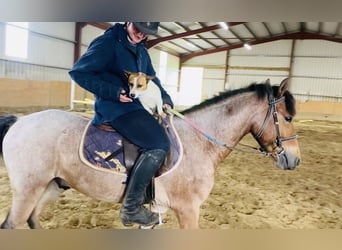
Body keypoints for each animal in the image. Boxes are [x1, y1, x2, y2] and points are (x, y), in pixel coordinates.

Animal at [0, 78, 300, 229]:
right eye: (286, 117)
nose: (295, 159)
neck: (199, 142)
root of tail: (19, 121)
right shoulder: (188, 210)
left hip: (50, 186)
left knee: (30, 220)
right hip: (29, 189)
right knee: (14, 224)